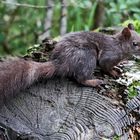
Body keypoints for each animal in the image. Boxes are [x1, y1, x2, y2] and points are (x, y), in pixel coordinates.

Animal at [0, 23, 140, 106]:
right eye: (135, 43)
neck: (120, 46)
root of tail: (61, 62)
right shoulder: (109, 55)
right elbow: (105, 66)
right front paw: (113, 72)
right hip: (88, 57)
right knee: (80, 78)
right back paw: (94, 81)